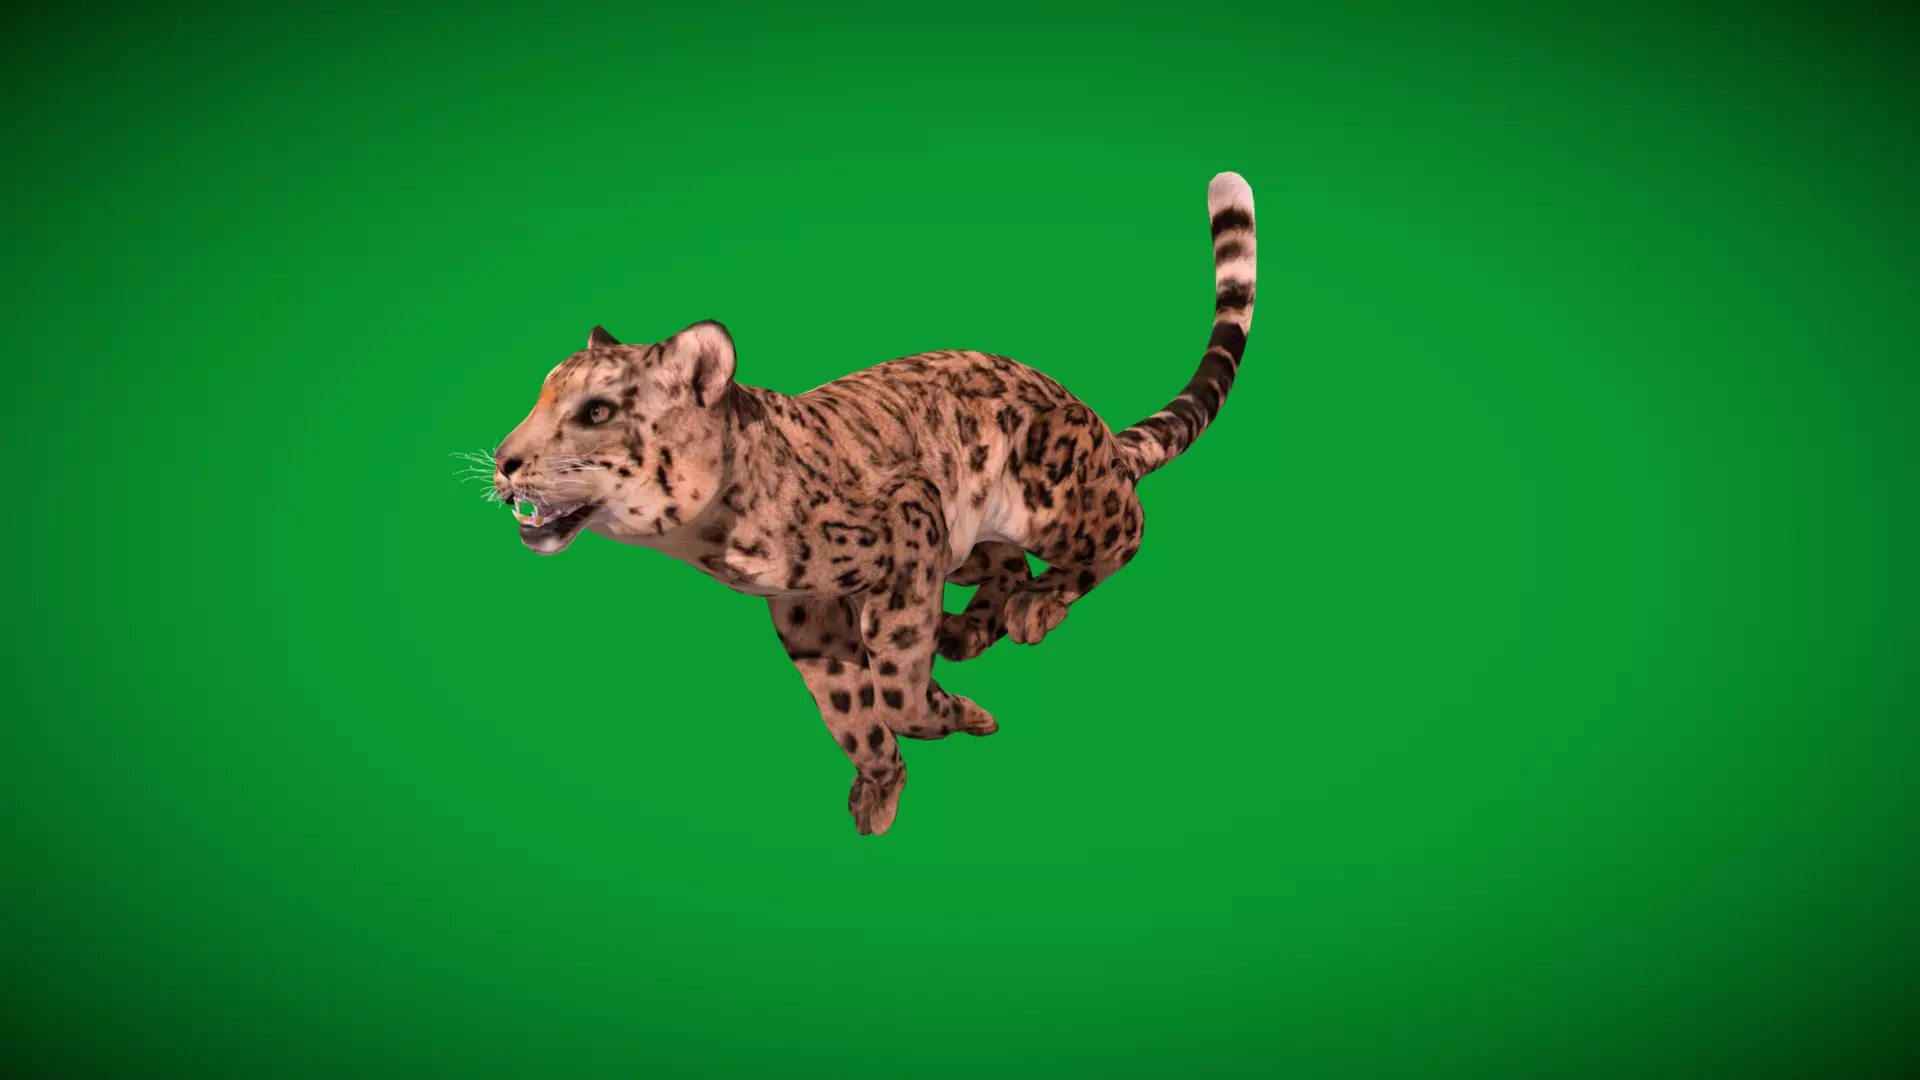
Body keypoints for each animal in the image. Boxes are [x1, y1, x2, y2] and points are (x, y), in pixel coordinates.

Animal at [479, 172, 1257, 835]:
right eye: (545, 392)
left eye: (596, 410)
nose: (502, 460)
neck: (714, 541)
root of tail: (1094, 426)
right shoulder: (808, 615)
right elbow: (849, 709)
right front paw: (882, 785)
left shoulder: (908, 525)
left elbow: (898, 682)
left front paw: (957, 714)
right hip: (967, 541)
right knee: (1004, 562)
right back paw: (968, 629)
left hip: (1053, 497)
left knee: (1126, 528)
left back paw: (1035, 606)